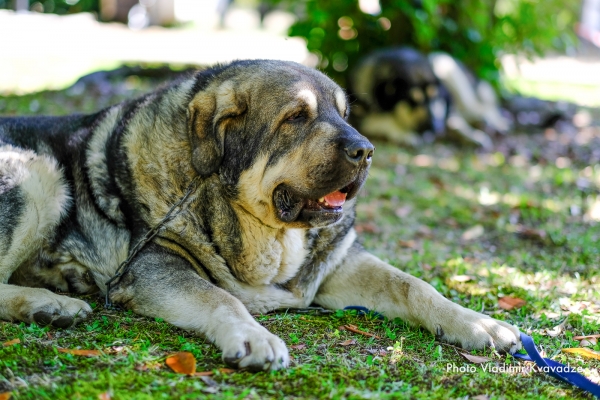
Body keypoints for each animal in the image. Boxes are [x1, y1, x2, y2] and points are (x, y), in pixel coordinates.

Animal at [0, 60, 516, 372]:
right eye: (296, 118)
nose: (366, 150)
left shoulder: (336, 265)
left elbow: (414, 286)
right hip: (39, 175)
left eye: (345, 114)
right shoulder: (154, 265)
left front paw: (477, 323)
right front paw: (254, 336)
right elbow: (219, 297)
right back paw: (49, 302)